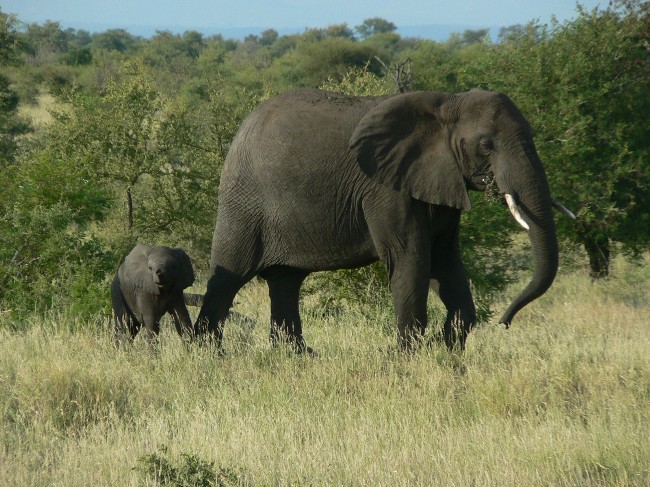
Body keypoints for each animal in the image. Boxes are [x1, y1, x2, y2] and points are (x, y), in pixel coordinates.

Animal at [196, 88, 560, 350]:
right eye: (486, 145)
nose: (504, 322)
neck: (446, 104)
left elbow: (446, 263)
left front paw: (445, 351)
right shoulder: (385, 189)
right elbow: (410, 259)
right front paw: (408, 359)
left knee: (285, 280)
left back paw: (297, 358)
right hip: (244, 203)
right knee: (229, 275)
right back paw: (210, 354)